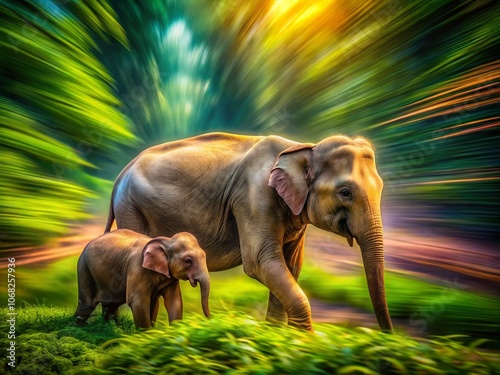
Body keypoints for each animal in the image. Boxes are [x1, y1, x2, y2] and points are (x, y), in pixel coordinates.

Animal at [74, 229, 209, 328]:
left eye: (205, 256)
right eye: (188, 261)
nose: (209, 319)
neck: (167, 241)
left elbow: (174, 301)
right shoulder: (137, 268)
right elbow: (138, 303)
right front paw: (145, 339)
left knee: (111, 305)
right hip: (84, 269)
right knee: (86, 305)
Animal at [105, 132, 392, 332]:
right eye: (345, 192)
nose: (386, 335)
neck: (303, 147)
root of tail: (120, 175)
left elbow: (290, 266)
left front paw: (278, 336)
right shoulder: (253, 197)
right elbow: (260, 262)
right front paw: (305, 343)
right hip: (131, 207)